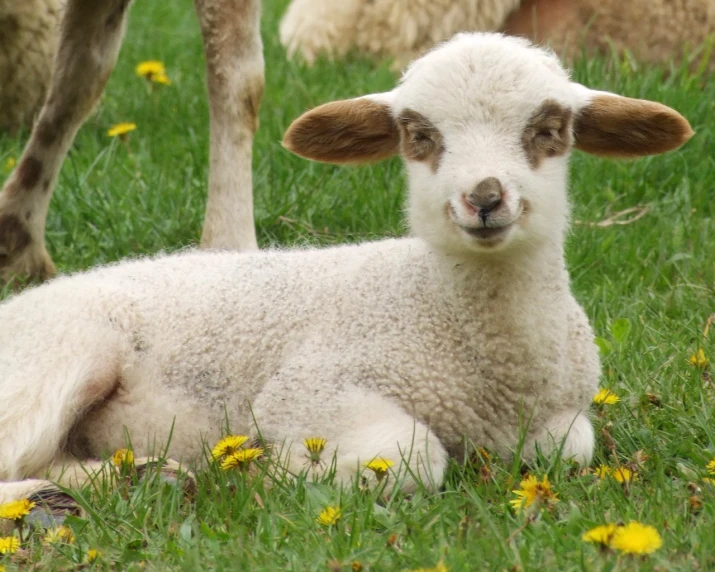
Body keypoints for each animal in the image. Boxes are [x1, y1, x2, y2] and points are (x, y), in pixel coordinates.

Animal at [0, 32, 692, 512]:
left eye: (550, 130)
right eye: (418, 135)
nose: (485, 198)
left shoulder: (555, 417)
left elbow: (569, 447)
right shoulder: (308, 390)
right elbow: (414, 457)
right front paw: (275, 470)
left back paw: (138, 476)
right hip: (59, 355)